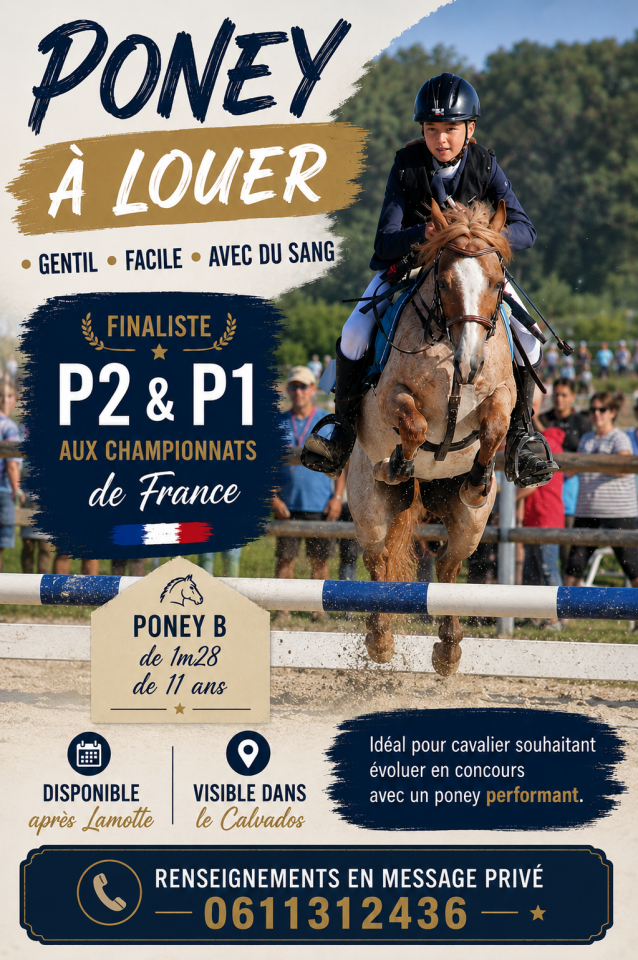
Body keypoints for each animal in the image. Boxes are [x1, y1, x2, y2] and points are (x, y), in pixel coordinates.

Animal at [347, 198, 516, 677]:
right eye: (443, 281)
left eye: (497, 283)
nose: (470, 364)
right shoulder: (390, 396)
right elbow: (416, 424)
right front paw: (399, 462)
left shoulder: (503, 394)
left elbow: (496, 424)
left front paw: (478, 478)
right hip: (368, 506)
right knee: (379, 559)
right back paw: (380, 639)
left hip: (471, 523)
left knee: (449, 565)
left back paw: (448, 648)